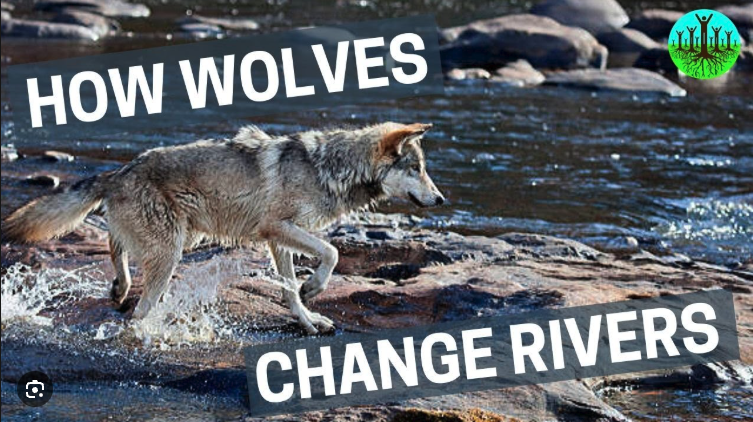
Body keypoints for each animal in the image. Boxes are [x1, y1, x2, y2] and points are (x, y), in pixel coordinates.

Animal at [3, 122, 444, 334]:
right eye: (417, 168)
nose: (440, 200)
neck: (330, 169)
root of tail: (119, 171)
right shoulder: (277, 227)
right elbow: (332, 253)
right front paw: (314, 288)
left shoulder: (278, 241)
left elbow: (290, 292)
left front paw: (307, 319)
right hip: (172, 251)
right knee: (140, 308)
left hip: (182, 238)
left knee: (116, 245)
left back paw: (119, 288)